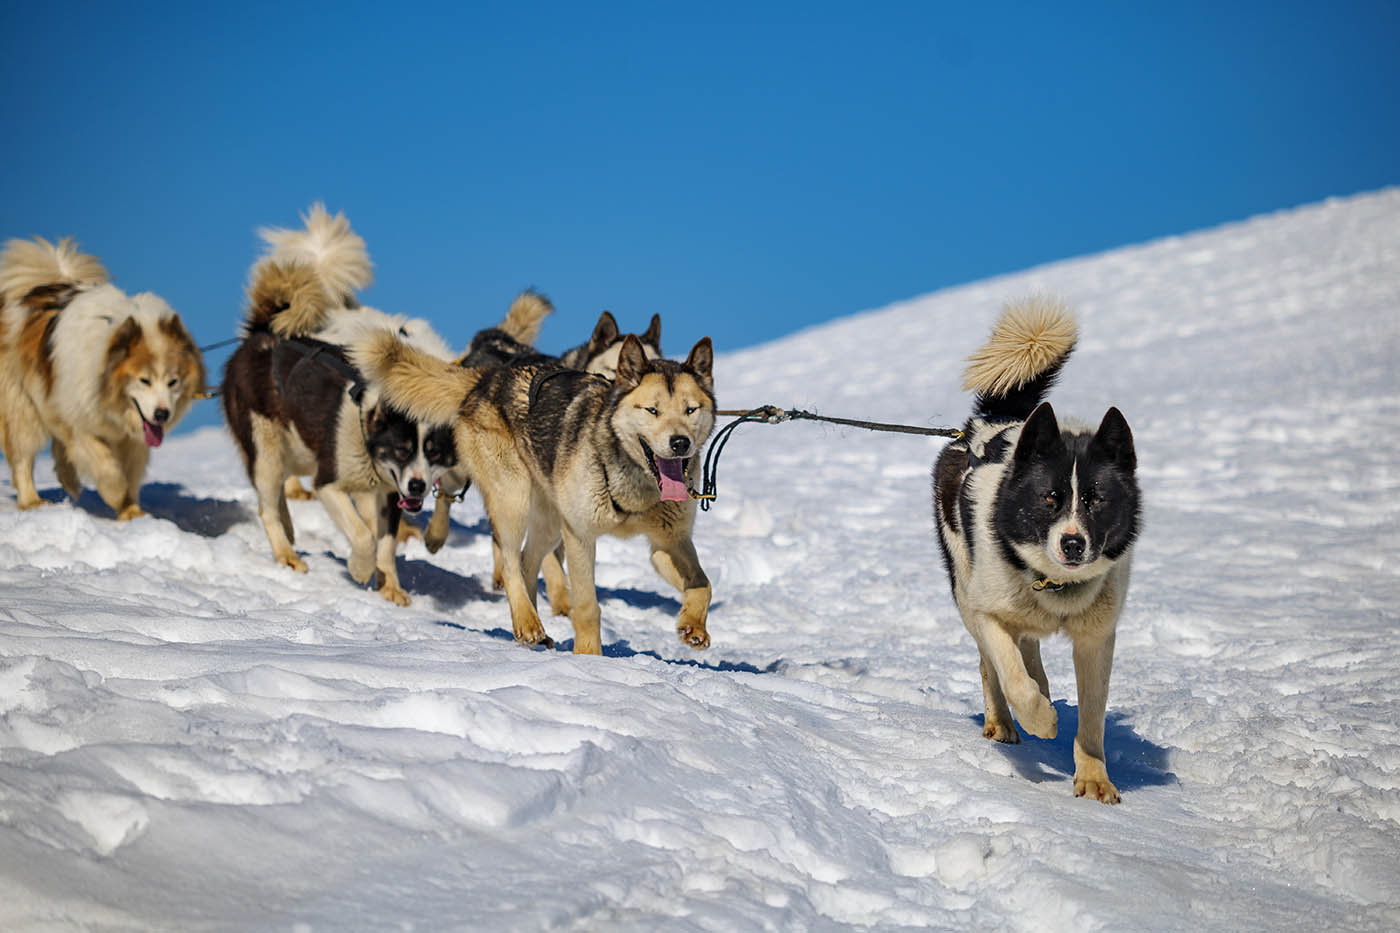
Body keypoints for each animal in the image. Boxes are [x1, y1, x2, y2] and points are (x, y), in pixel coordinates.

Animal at [0, 233, 205, 515]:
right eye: (144, 380)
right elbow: (106, 466)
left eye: (173, 381)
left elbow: (130, 472)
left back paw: (70, 483)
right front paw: (116, 495)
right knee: (23, 455)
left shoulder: (132, 440)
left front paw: (131, 512)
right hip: (23, 406)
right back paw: (32, 501)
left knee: (59, 449)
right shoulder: (81, 423)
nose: (162, 414)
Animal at [221, 205, 456, 602]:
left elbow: (386, 544)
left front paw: (390, 586)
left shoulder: (388, 496)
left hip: (297, 448)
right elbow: (363, 536)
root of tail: (264, 333)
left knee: (279, 499)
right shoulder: (329, 483)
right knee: (267, 505)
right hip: (266, 449)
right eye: (402, 448)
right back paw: (286, 554)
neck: (365, 425)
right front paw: (360, 568)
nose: (418, 487)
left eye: (434, 452)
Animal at [355, 334, 716, 652]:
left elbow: (703, 584)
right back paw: (525, 621)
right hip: (513, 499)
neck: (635, 483)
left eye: (690, 410)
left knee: (529, 562)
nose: (680, 443)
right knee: (510, 561)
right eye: (652, 410)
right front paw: (589, 658)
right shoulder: (580, 537)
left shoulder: (669, 542)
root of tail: (489, 377)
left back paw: (532, 625)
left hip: (550, 521)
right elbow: (587, 606)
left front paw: (693, 626)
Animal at [929, 295, 1136, 801]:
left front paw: (1094, 778)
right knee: (994, 663)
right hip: (964, 589)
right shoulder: (986, 610)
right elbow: (1010, 675)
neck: (1055, 587)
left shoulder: (1097, 638)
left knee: (1029, 648)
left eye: (1097, 499)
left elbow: (1093, 717)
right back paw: (1005, 722)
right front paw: (1041, 718)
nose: (1074, 543)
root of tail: (988, 423)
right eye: (1049, 497)